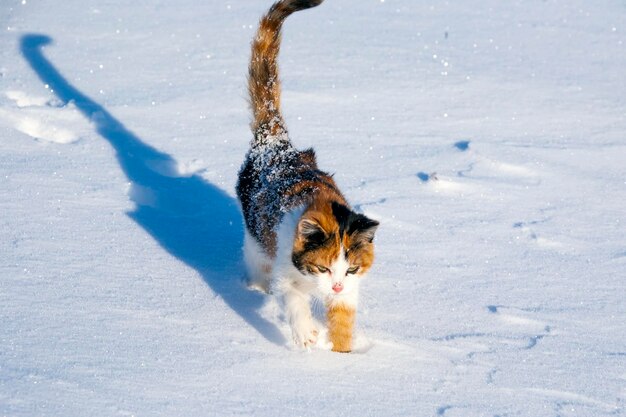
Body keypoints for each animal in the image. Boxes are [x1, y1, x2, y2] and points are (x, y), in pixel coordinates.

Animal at [236, 0, 378, 352]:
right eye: (323, 267)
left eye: (351, 269)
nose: (336, 286)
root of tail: (274, 142)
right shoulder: (284, 267)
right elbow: (293, 299)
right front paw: (305, 335)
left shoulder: (350, 291)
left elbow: (343, 321)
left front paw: (344, 354)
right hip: (256, 242)